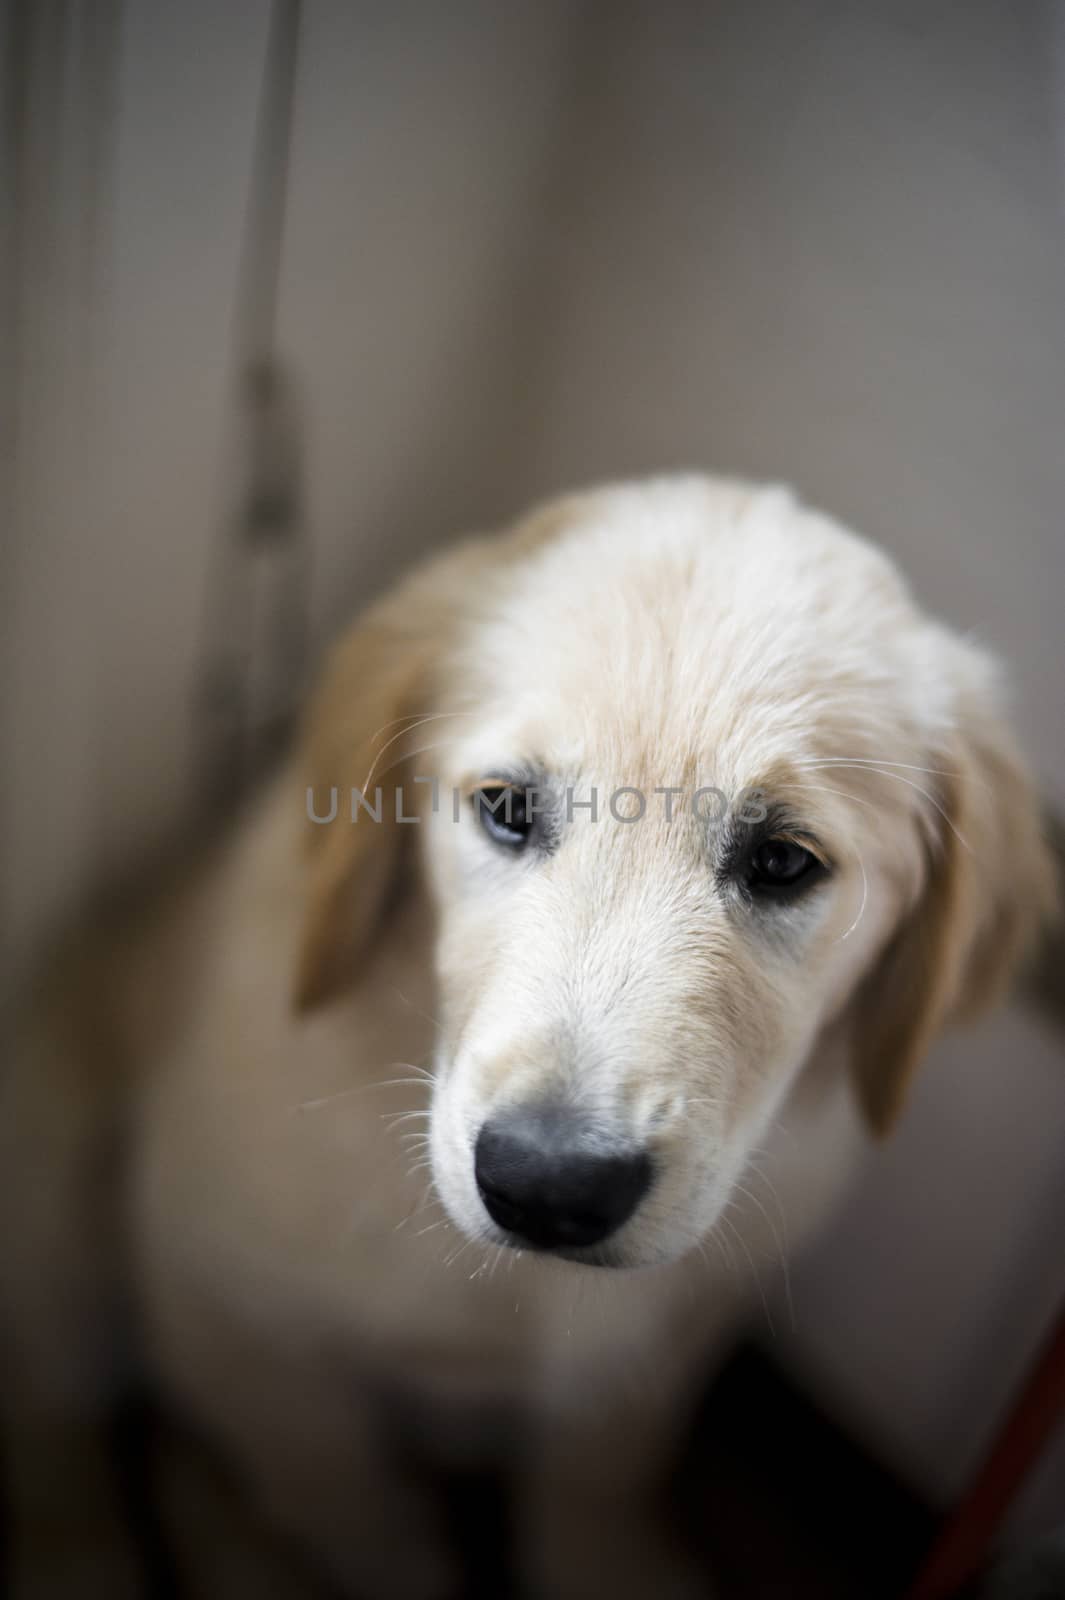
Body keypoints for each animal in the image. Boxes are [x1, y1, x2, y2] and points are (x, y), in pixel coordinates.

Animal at [0, 476, 1042, 1600]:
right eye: (505, 807)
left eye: (783, 860)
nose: (549, 1184)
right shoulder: (211, 1282)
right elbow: (333, 1474)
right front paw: (394, 1559)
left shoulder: (665, 1338)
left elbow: (595, 1466)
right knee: (59, 1423)